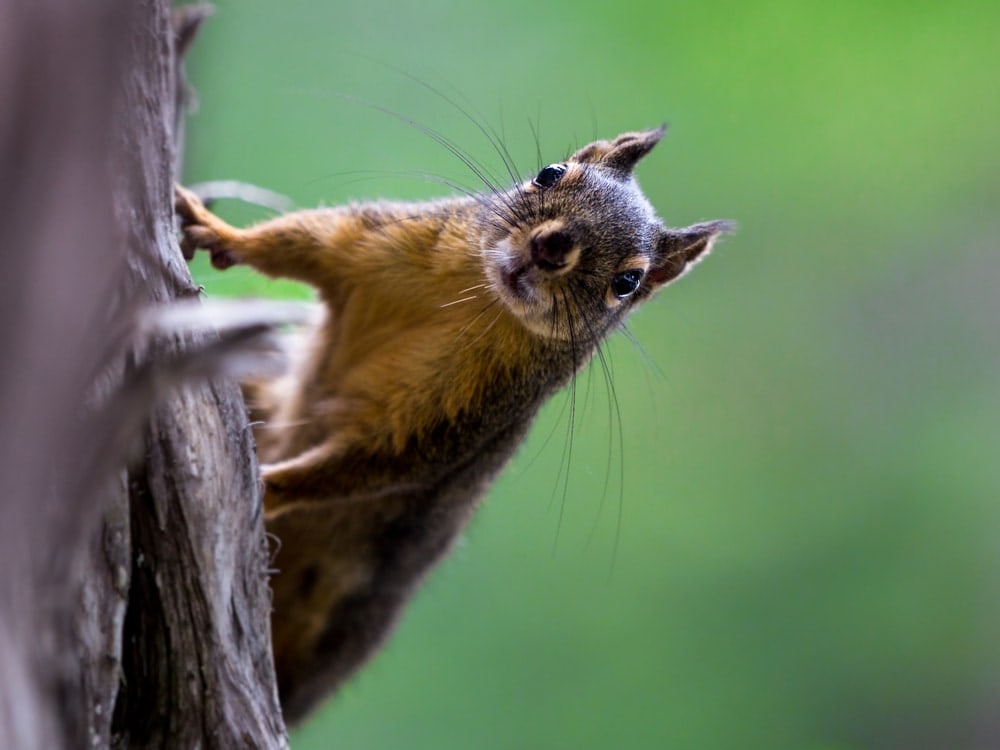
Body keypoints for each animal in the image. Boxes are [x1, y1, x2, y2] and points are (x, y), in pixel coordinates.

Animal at [175, 126, 731, 724]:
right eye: (550, 173)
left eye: (627, 282)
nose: (551, 248)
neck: (475, 298)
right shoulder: (378, 242)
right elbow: (299, 240)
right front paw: (214, 229)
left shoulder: (459, 413)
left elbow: (367, 463)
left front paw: (269, 484)